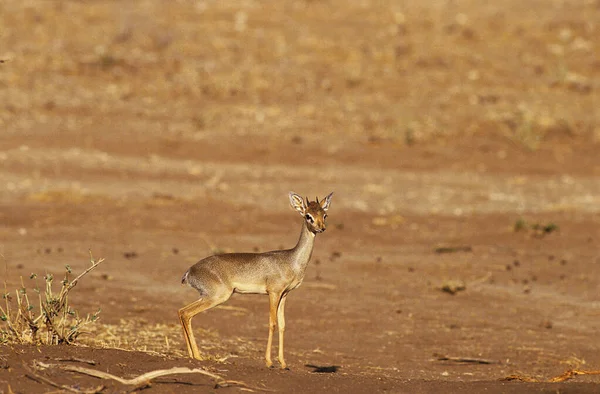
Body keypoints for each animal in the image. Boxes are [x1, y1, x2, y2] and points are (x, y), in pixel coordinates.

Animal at [180, 192, 336, 370]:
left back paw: (192, 355)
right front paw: (268, 361)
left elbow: (282, 325)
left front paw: (283, 363)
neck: (292, 260)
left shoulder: (284, 295)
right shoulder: (273, 293)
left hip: (206, 296)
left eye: (324, 214)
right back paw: (198, 356)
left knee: (183, 312)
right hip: (217, 297)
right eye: (308, 216)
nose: (321, 228)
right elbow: (272, 323)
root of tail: (189, 272)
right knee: (186, 313)